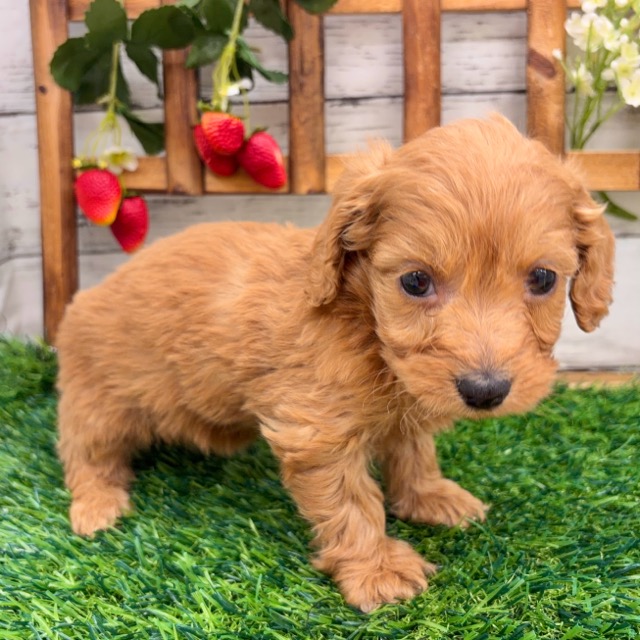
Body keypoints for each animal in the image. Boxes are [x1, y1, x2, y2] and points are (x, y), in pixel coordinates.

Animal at [56, 115, 614, 612]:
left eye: (543, 278)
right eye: (415, 281)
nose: (485, 391)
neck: (364, 325)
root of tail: (83, 301)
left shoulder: (406, 403)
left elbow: (414, 452)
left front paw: (430, 497)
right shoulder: (315, 434)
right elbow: (353, 504)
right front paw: (377, 570)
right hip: (101, 399)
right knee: (85, 452)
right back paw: (97, 505)